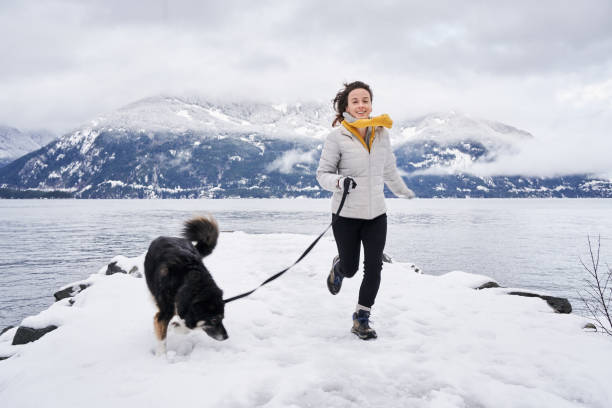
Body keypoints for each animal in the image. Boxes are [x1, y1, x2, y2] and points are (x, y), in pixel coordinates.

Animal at [145, 215, 228, 356]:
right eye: (214, 320)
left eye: (223, 318)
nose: (226, 337)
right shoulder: (164, 313)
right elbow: (162, 338)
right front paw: (161, 357)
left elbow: (187, 326)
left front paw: (177, 327)